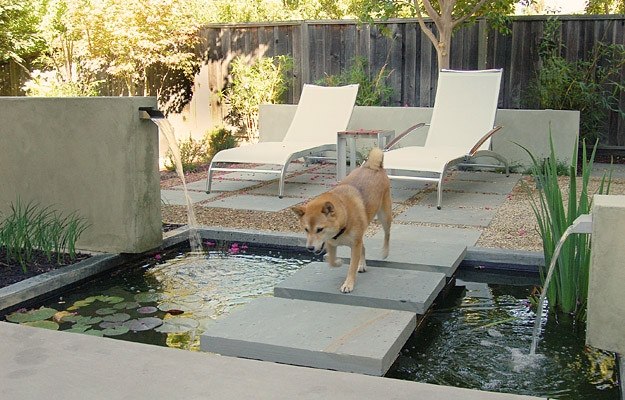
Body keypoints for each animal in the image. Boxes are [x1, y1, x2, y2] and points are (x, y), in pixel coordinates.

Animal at [292, 148, 390, 292]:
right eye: (306, 229)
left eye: (319, 229)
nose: (309, 248)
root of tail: (372, 166)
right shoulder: (332, 243)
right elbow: (332, 261)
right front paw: (338, 262)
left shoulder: (355, 245)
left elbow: (351, 267)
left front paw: (348, 284)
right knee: (364, 247)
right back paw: (362, 265)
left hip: (385, 216)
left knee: (387, 235)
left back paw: (385, 252)